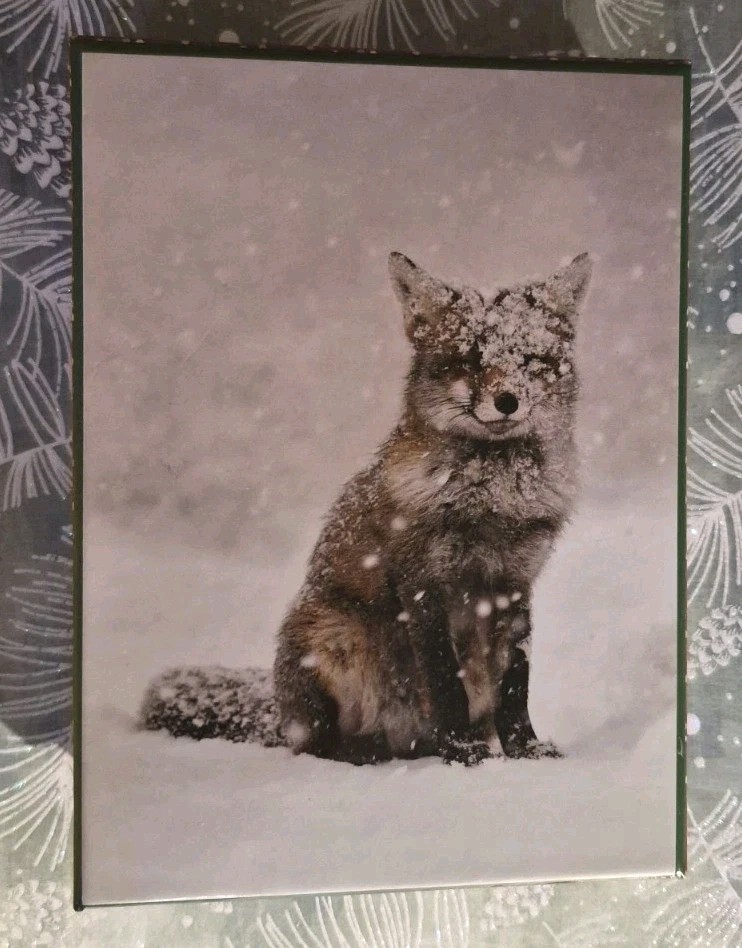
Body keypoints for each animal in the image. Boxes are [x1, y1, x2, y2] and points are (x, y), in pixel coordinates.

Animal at [141, 250, 592, 767]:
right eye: (469, 360)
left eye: (529, 359)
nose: (507, 401)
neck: (491, 503)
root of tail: (280, 709)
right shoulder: (424, 585)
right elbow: (445, 681)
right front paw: (462, 751)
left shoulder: (515, 585)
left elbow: (516, 683)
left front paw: (525, 749)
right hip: (333, 641)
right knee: (314, 745)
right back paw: (365, 754)